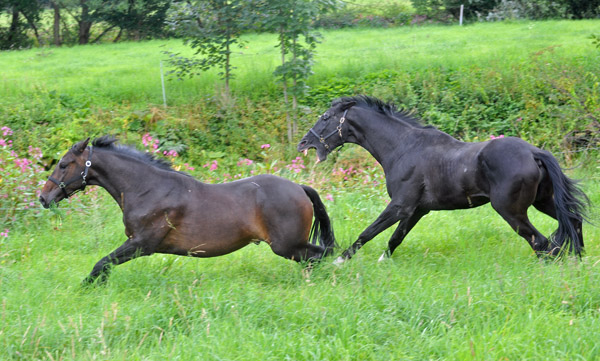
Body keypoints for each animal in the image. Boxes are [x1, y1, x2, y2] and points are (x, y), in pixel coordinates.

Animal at [39, 136, 336, 282]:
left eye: (63, 164)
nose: (43, 197)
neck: (146, 189)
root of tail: (299, 187)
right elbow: (103, 265)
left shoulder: (142, 244)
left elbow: (101, 264)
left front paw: (86, 289)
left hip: (286, 245)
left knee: (321, 256)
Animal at [298, 95, 588, 262]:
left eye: (325, 117)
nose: (304, 143)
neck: (403, 147)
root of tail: (533, 152)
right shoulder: (417, 209)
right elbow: (395, 238)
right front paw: (383, 261)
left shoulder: (400, 205)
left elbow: (367, 232)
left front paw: (339, 260)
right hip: (543, 201)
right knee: (573, 222)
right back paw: (579, 259)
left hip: (511, 210)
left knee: (542, 243)